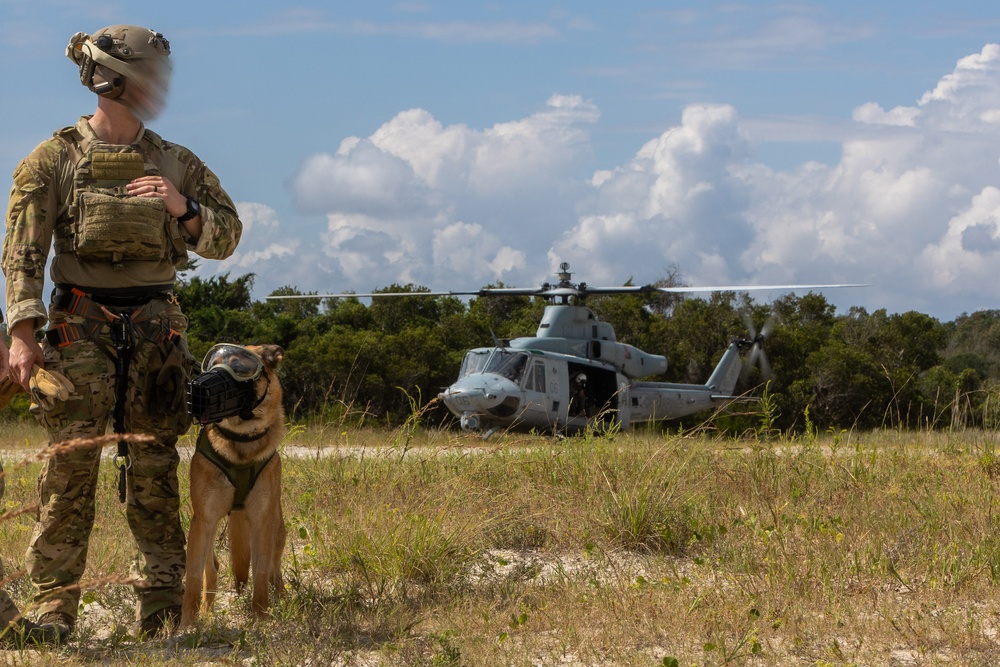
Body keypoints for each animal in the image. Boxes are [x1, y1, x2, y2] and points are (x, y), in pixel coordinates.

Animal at [181, 342, 286, 628]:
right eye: (212, 364)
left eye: (240, 368)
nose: (196, 389)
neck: (240, 443)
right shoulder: (204, 520)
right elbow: (193, 578)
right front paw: (186, 625)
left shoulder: (262, 521)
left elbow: (260, 573)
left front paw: (261, 618)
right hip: (204, 531)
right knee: (212, 569)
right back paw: (206, 613)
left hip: (277, 530)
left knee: (274, 570)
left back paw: (283, 600)